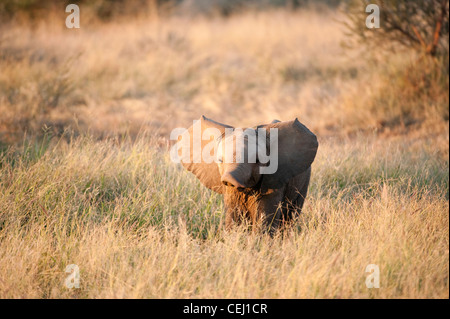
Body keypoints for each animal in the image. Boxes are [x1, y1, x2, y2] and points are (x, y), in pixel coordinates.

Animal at [178, 116, 318, 234]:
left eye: (257, 160)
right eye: (220, 160)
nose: (228, 179)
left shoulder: (274, 179)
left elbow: (264, 217)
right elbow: (233, 215)